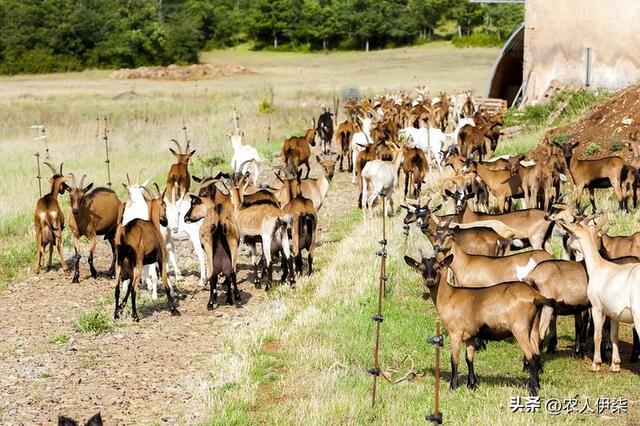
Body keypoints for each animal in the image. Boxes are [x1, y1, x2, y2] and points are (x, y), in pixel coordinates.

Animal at [408, 250, 552, 396]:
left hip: (519, 329)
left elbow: (454, 359)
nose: (429, 282)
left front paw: (453, 386)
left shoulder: (455, 332)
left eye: (438, 267)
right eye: (421, 268)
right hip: (533, 327)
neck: (449, 296)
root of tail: (535, 296)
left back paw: (533, 390)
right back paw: (537, 386)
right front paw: (471, 385)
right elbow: (469, 358)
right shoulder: (470, 336)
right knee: (536, 354)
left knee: (531, 356)